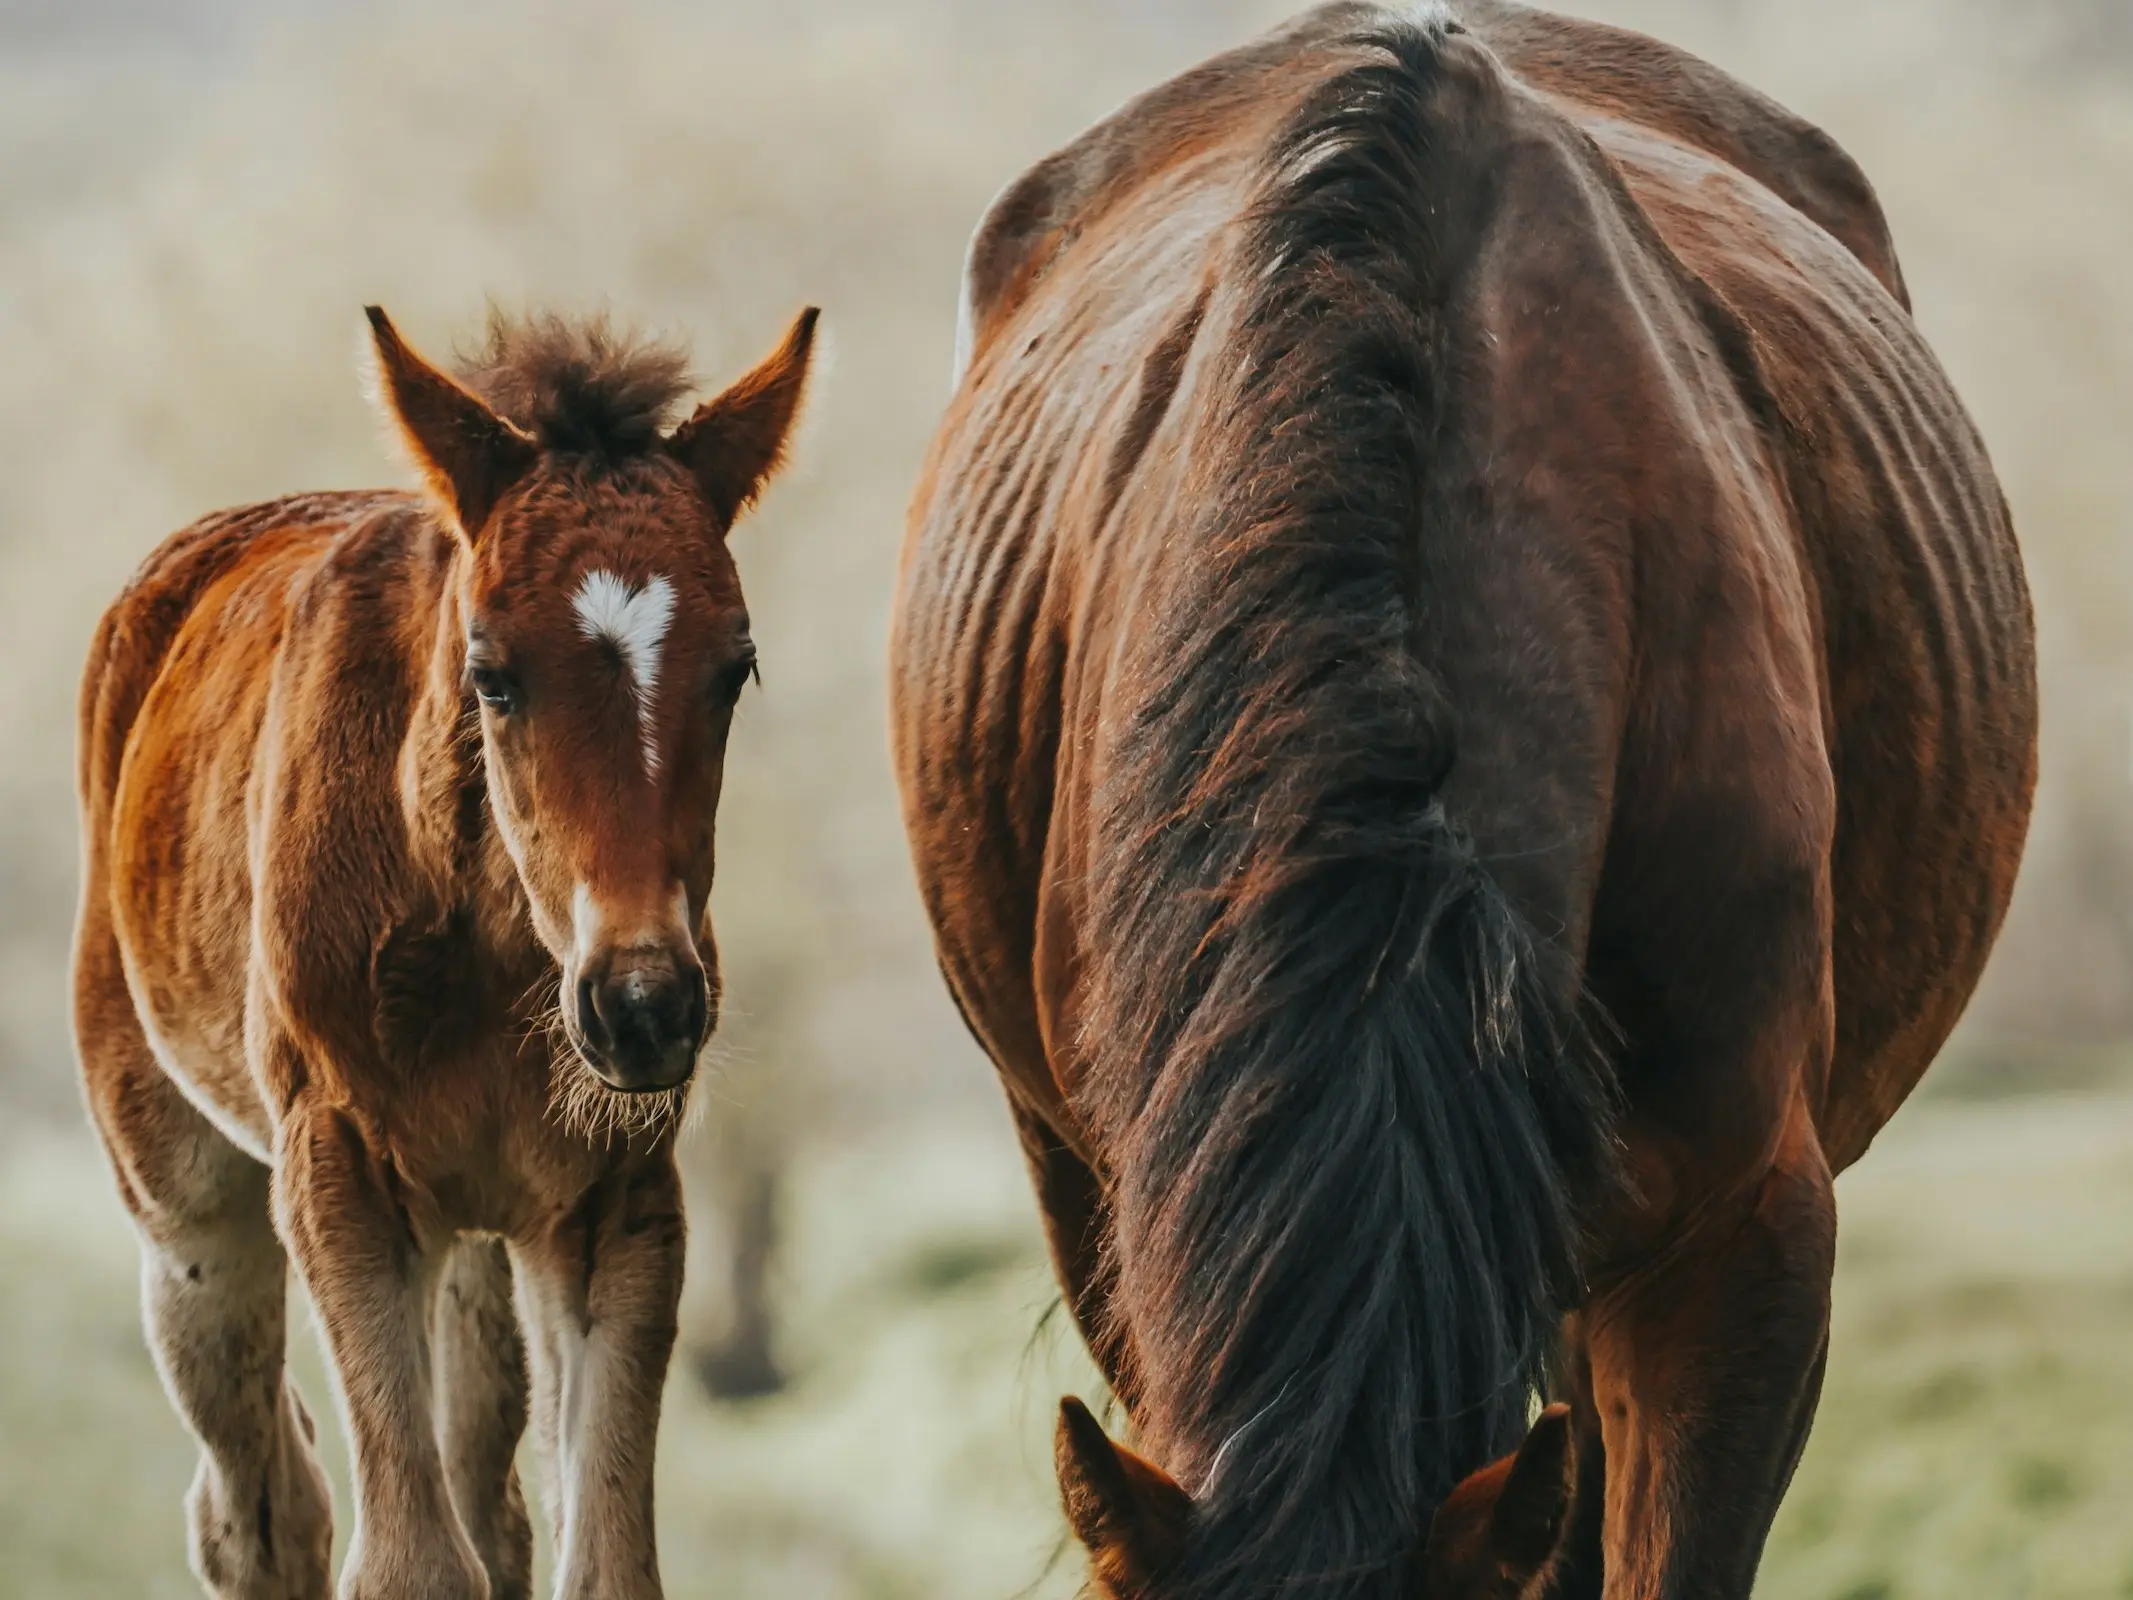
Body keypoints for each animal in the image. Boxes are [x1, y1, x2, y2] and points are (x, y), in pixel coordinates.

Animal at [73, 302, 814, 1600]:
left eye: (736, 668)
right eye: (492, 674)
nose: (643, 1005)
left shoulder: (615, 1201)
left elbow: (599, 1563)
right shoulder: (340, 1173)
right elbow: (411, 1562)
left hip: (477, 1235)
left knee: (487, 1491)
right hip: (189, 1215)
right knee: (262, 1505)